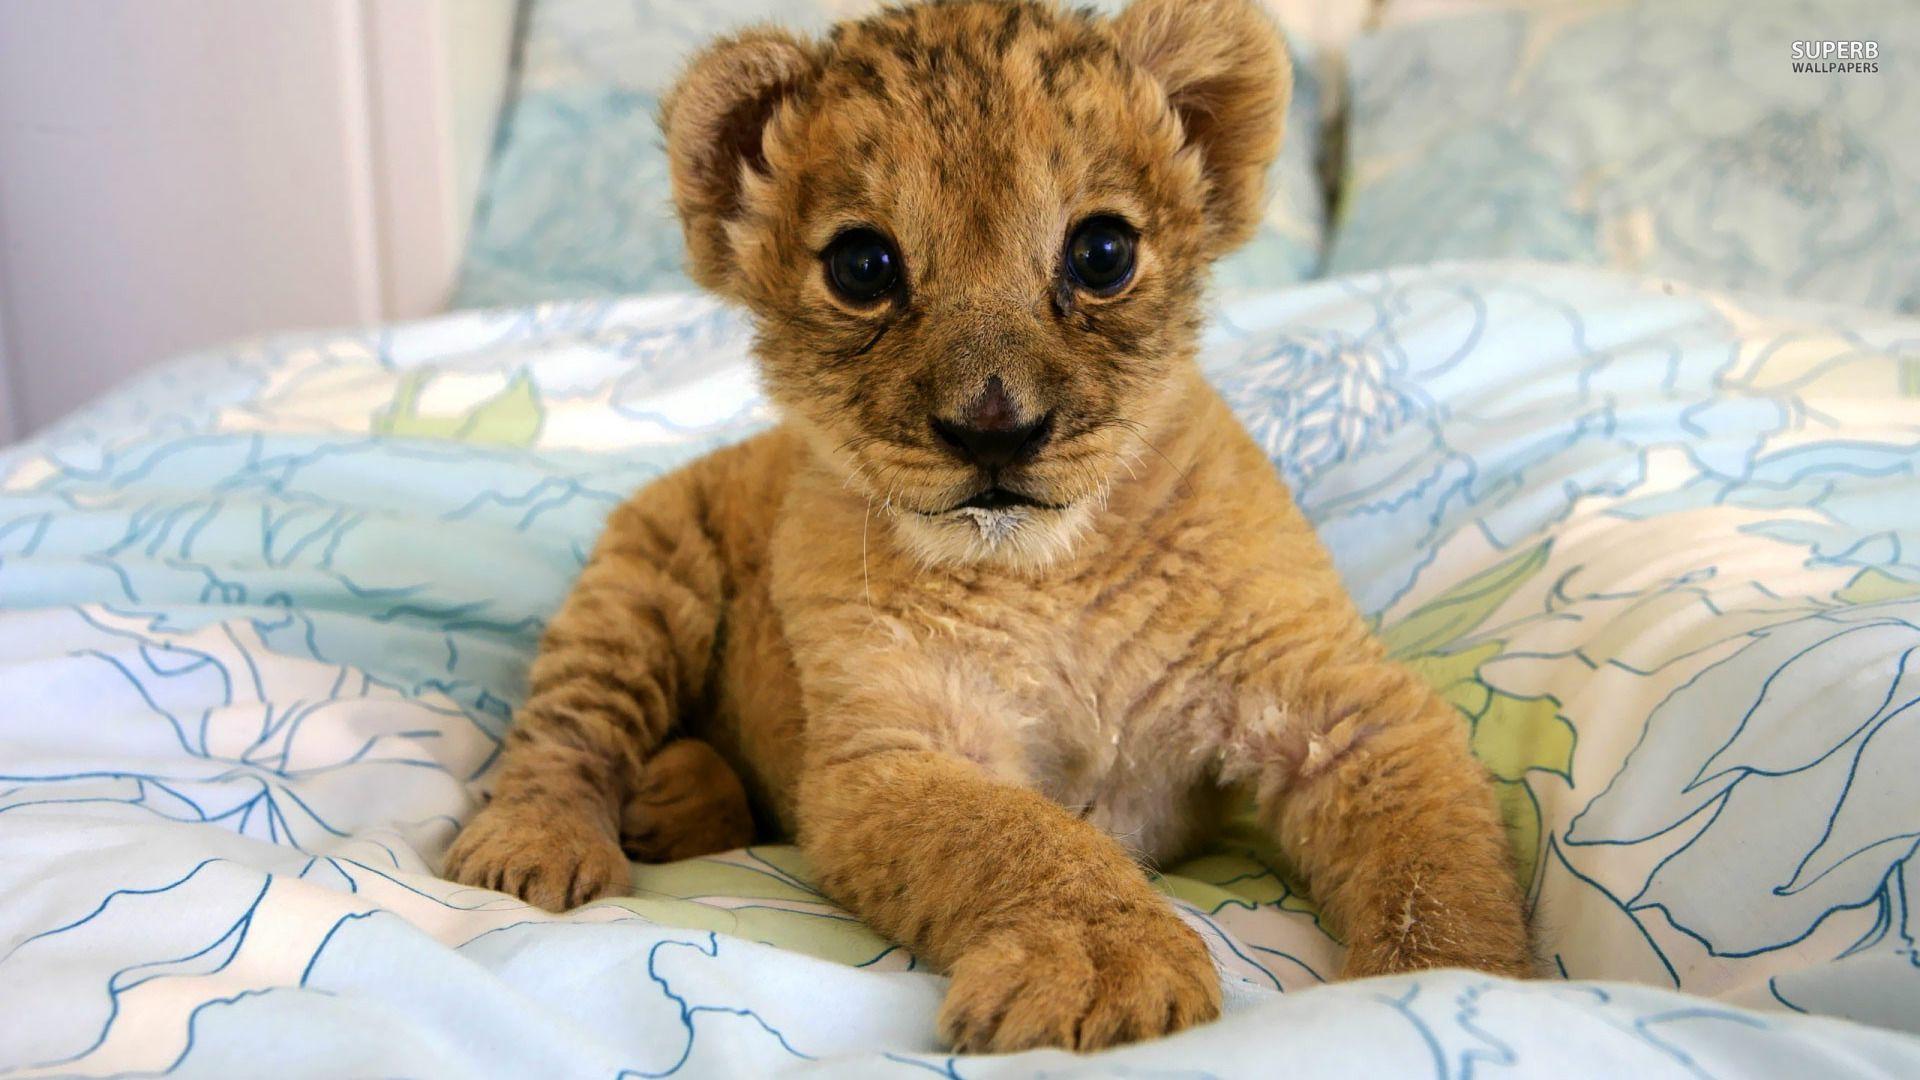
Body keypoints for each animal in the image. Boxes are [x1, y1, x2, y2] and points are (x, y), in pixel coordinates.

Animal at [445, 0, 1531, 1052]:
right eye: (863, 264)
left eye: (1102, 254)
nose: (994, 428)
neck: (1051, 573)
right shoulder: (893, 752)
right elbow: (1021, 837)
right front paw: (1106, 969)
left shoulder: (1341, 710)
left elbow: (1436, 868)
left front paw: (1445, 989)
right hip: (642, 580)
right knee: (568, 726)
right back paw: (542, 847)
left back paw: (673, 799)